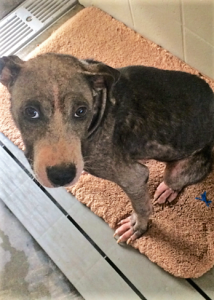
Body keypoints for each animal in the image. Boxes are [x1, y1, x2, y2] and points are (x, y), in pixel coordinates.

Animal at [0, 52, 214, 244]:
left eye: (81, 111)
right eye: (31, 112)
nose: (62, 176)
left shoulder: (133, 177)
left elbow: (141, 207)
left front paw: (137, 226)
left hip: (180, 169)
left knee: (175, 179)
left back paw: (168, 188)